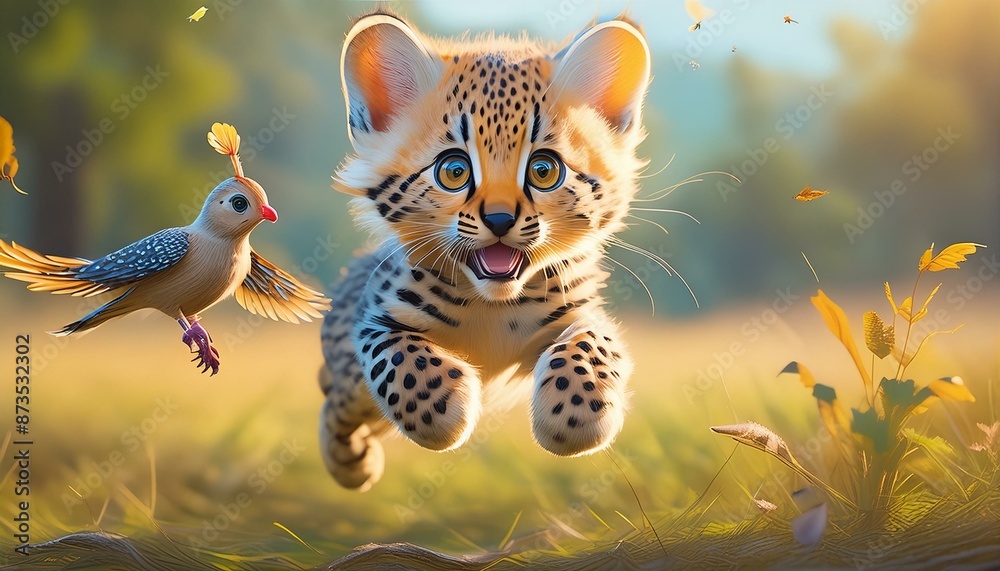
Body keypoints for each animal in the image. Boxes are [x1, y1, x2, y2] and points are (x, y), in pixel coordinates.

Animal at [318, 10, 651, 491]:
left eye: (544, 170)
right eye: (454, 171)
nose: (499, 219)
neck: (494, 306)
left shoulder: (583, 311)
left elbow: (593, 346)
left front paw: (575, 414)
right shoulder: (375, 317)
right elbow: (399, 356)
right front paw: (442, 407)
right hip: (348, 380)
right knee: (336, 402)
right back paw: (351, 461)